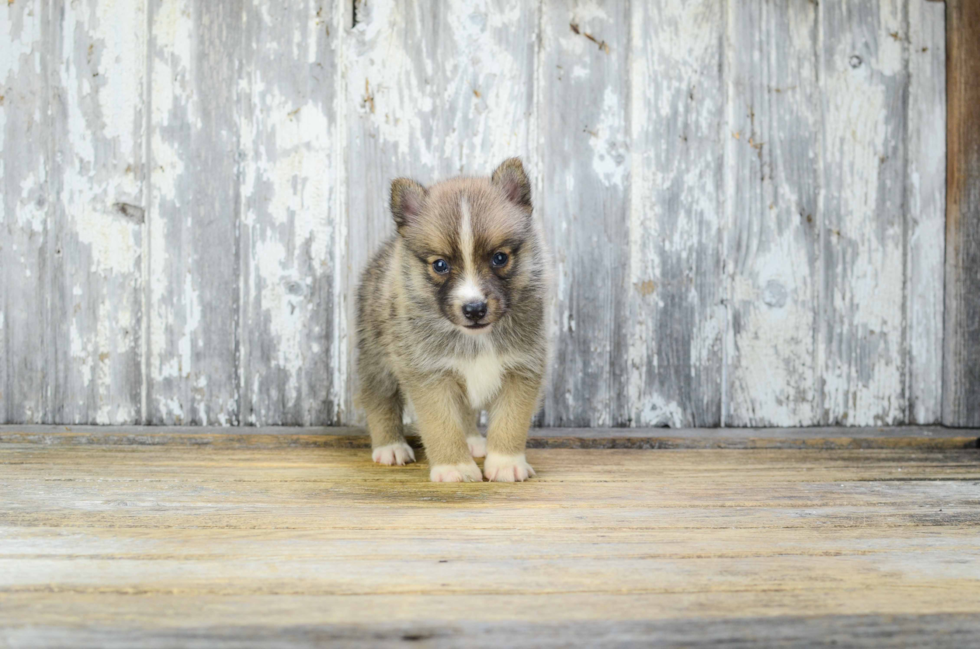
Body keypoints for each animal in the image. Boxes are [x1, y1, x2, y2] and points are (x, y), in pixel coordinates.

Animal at [354, 158, 552, 480]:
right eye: (440, 265)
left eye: (500, 258)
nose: (474, 309)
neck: (476, 338)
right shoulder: (429, 375)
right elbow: (442, 426)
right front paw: (454, 467)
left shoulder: (522, 368)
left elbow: (511, 421)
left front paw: (506, 463)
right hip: (375, 359)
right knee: (380, 400)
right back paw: (390, 447)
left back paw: (472, 441)